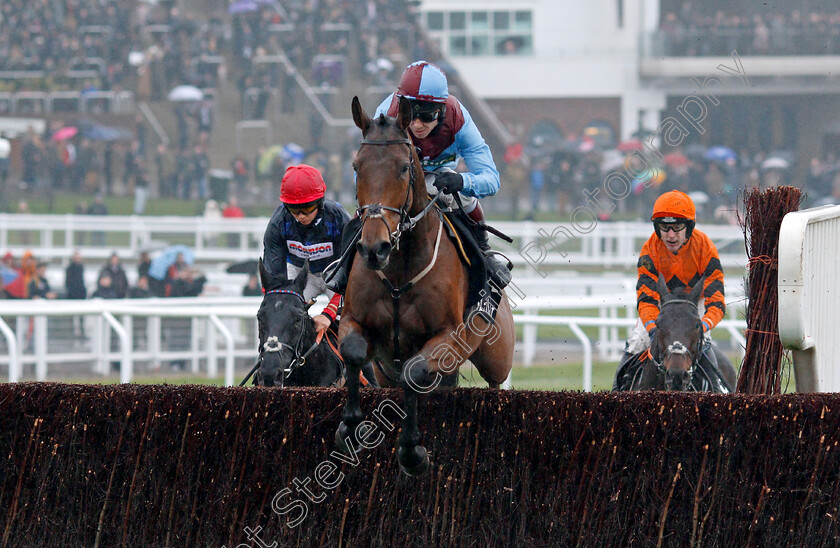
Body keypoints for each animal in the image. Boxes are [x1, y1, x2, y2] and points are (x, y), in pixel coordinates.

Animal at [334, 94, 512, 476]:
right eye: (357, 167)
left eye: (404, 167)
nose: (374, 248)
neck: (400, 271)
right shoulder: (354, 320)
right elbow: (354, 353)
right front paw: (349, 427)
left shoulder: (449, 337)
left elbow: (414, 371)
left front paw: (412, 452)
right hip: (384, 369)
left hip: (495, 357)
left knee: (494, 384)